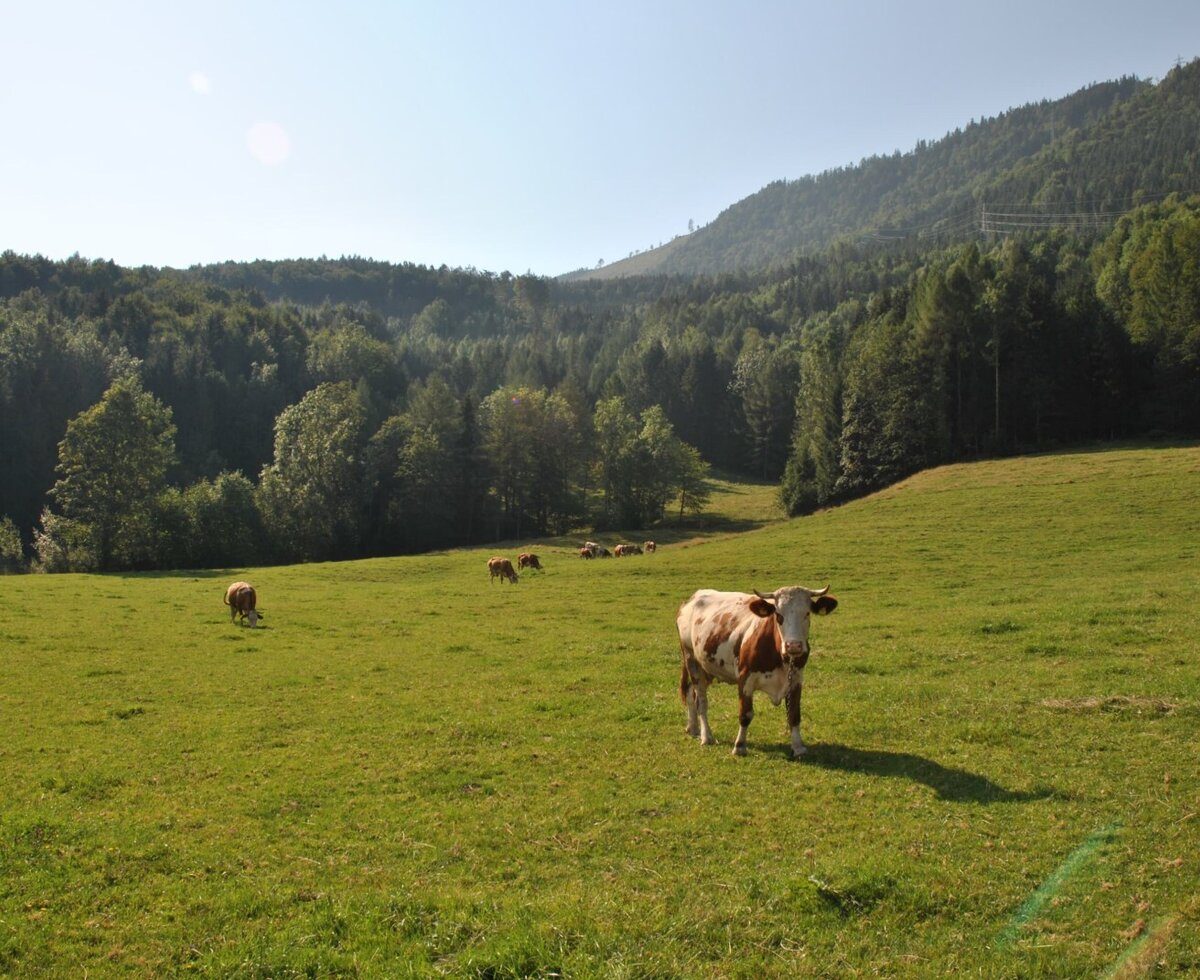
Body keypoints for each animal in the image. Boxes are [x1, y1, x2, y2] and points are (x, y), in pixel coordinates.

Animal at [676, 585, 837, 758]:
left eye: (807, 613)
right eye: (778, 615)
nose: (793, 646)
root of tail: (692, 599)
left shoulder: (796, 679)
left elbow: (794, 714)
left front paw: (798, 747)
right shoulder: (745, 679)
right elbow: (745, 714)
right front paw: (739, 746)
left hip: (706, 668)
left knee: (690, 693)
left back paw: (693, 728)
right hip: (692, 660)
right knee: (701, 700)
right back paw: (707, 736)